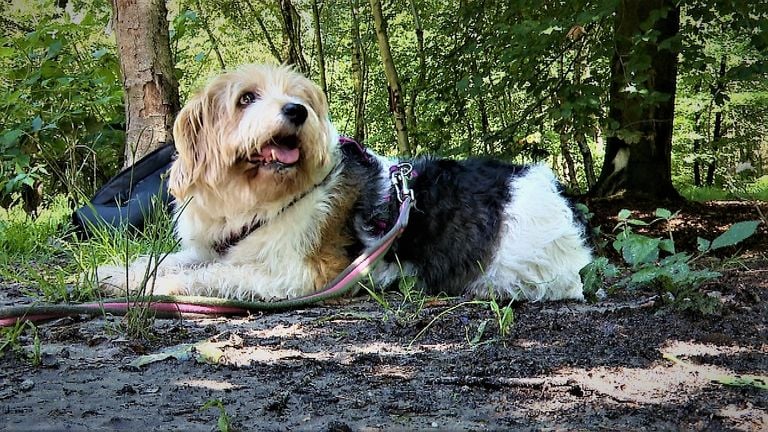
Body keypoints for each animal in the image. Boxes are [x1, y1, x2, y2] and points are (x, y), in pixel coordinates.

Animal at [97, 64, 592, 302]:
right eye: (246, 98)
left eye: (298, 97)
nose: (296, 111)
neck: (265, 197)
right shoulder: (213, 247)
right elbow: (169, 261)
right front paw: (111, 273)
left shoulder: (296, 276)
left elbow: (208, 276)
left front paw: (147, 287)